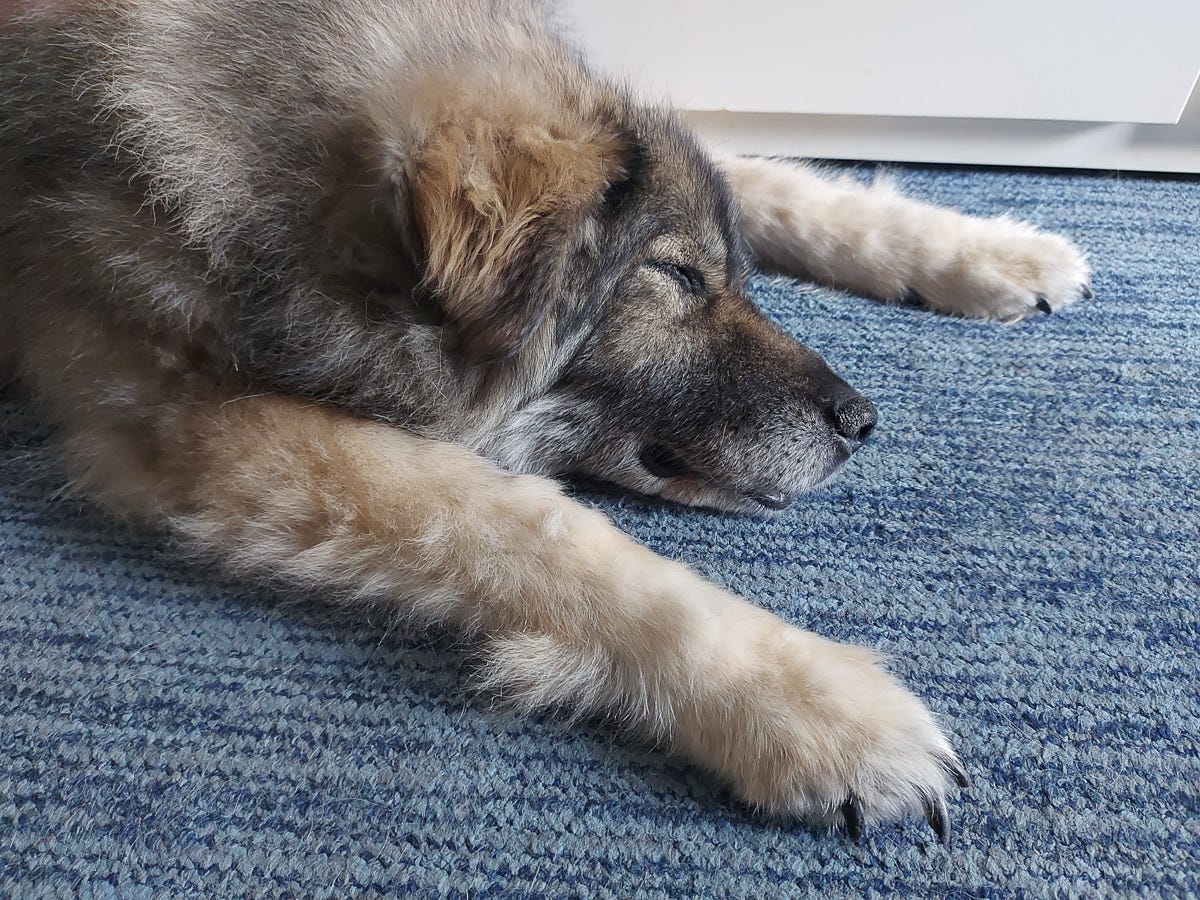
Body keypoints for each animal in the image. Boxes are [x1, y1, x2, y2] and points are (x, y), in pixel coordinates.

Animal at [0, 0, 1091, 844]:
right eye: (674, 277)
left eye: (720, 269)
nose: (861, 421)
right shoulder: (211, 427)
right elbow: (540, 529)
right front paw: (812, 704)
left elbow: (774, 176)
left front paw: (981, 249)